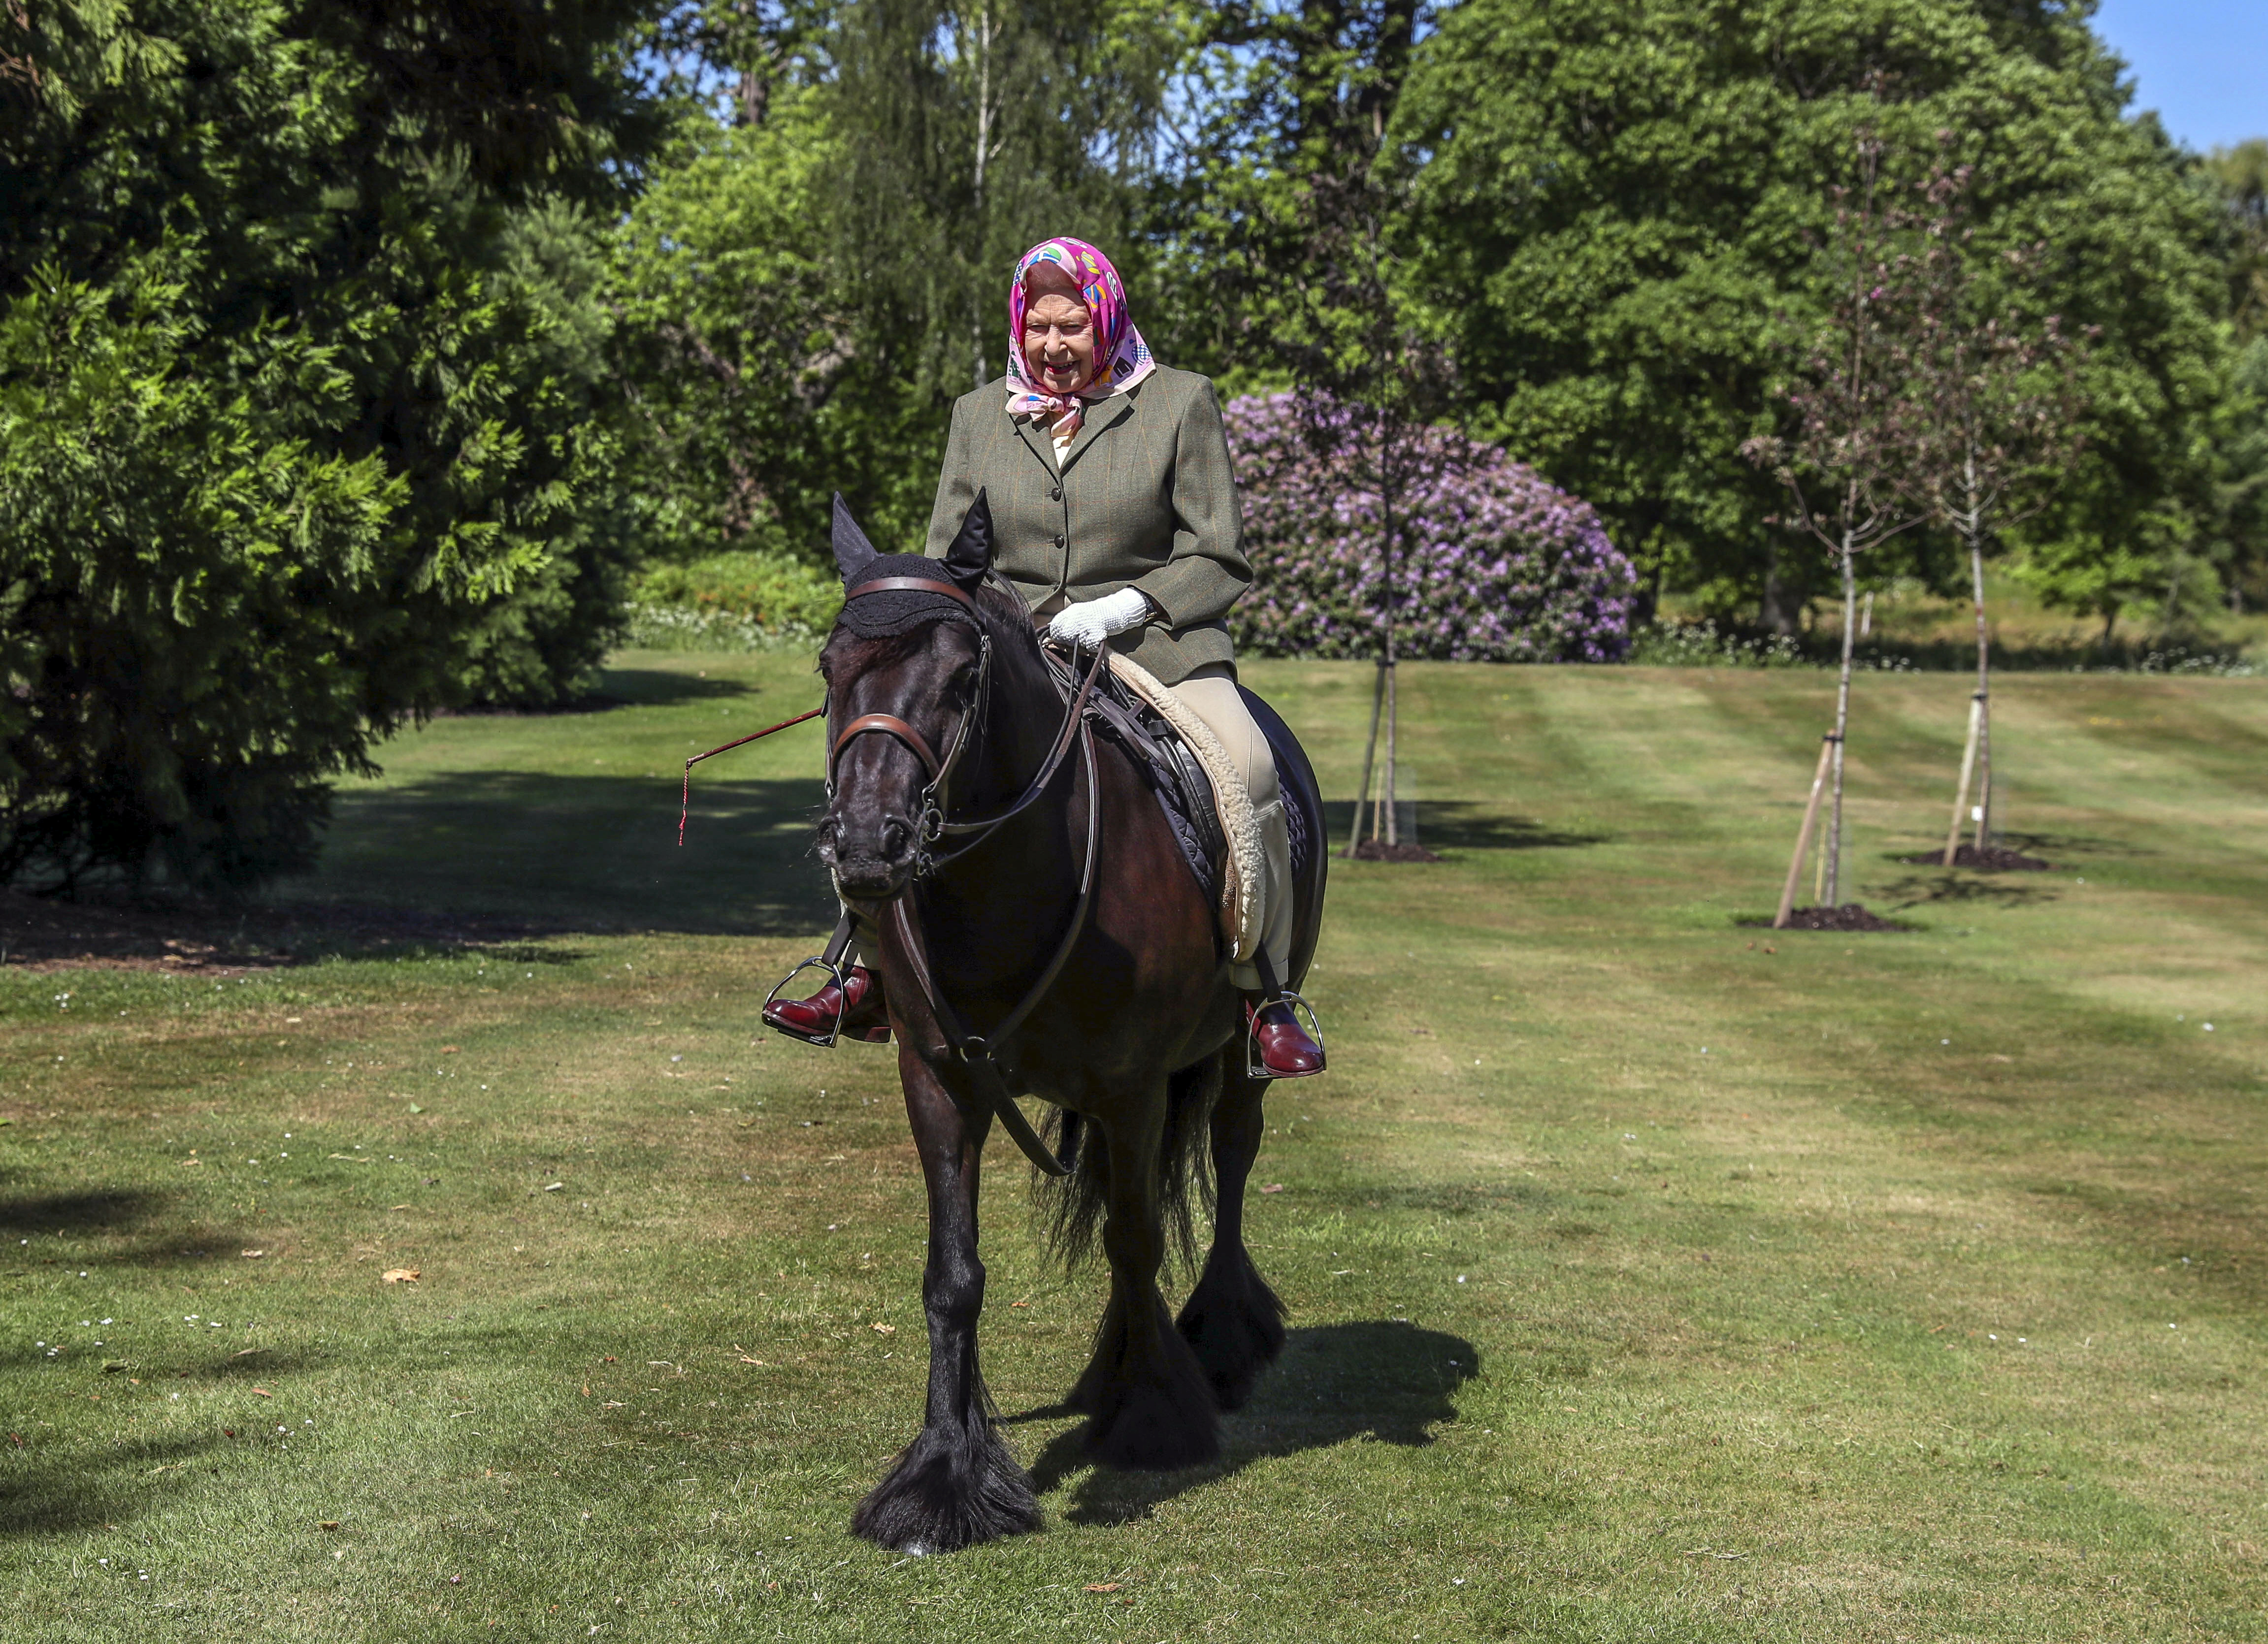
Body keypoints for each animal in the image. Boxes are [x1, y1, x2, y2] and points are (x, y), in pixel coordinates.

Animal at [816, 494, 1324, 1542]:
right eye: (828, 667)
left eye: (963, 675)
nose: (869, 843)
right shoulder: (940, 1077)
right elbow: (953, 1274)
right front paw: (945, 1472)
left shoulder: (1132, 1083)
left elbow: (1134, 1239)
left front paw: (1155, 1415)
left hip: (1238, 1054)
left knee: (1230, 1162)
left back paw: (1218, 1337)